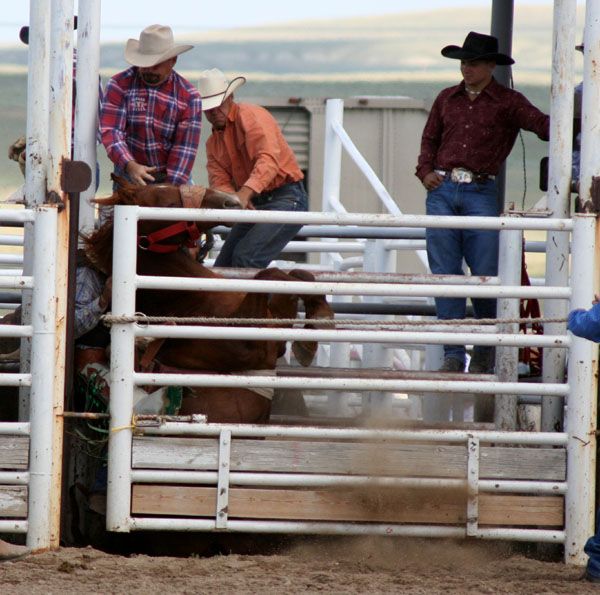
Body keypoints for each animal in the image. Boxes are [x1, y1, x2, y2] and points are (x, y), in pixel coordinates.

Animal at [85, 177, 336, 424]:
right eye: (170, 205)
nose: (230, 201)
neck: (189, 299)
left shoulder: (276, 335)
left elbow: (300, 275)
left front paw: (319, 320)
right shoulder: (247, 348)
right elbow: (270, 274)